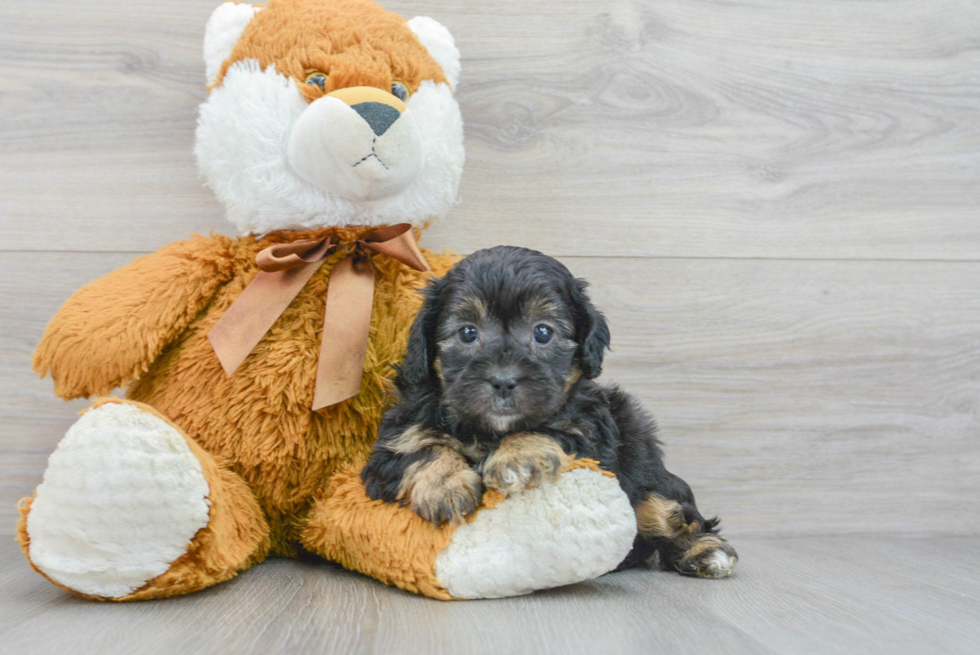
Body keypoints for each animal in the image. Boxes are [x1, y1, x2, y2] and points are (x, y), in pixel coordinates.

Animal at [364, 246, 740, 580]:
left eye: (543, 332)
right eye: (468, 332)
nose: (503, 381)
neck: (489, 430)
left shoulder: (591, 429)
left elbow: (553, 429)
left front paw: (519, 456)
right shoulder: (394, 438)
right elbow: (420, 446)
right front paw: (446, 487)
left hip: (647, 471)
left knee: (670, 512)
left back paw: (705, 551)